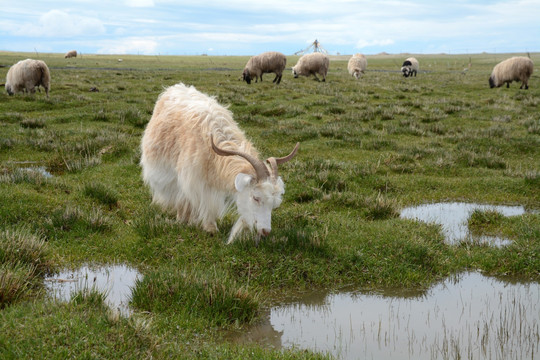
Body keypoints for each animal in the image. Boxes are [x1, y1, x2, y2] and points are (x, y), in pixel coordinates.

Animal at [139, 83, 300, 243]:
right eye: (256, 197)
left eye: (274, 204)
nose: (265, 231)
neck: (213, 148)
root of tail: (175, 87)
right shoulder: (193, 178)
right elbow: (201, 200)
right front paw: (209, 227)